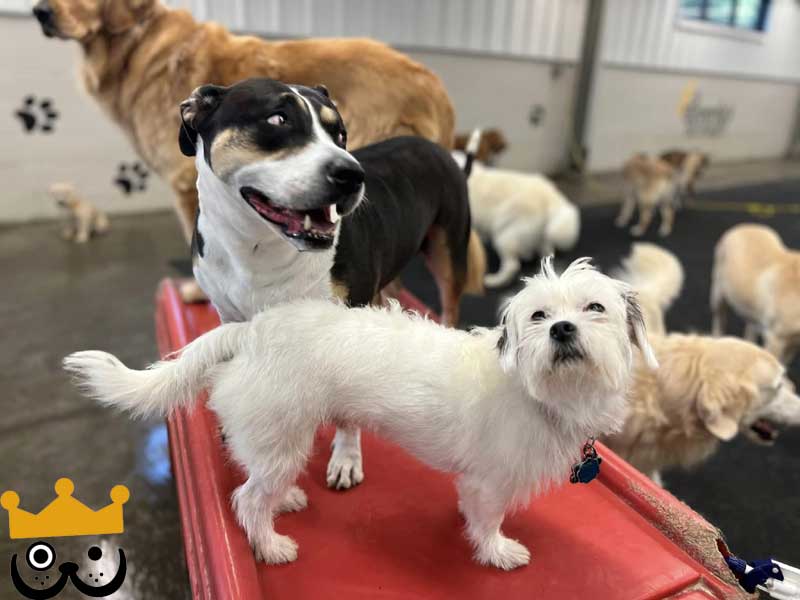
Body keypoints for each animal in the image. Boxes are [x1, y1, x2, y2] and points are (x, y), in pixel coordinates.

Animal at [65, 257, 657, 570]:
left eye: (595, 308)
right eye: (538, 315)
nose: (562, 329)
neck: (540, 392)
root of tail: (252, 331)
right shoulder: (489, 482)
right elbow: (487, 520)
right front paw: (497, 552)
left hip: (275, 438)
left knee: (251, 474)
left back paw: (287, 500)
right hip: (284, 435)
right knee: (247, 499)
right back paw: (270, 544)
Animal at [179, 78, 484, 488]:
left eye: (340, 133)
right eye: (277, 119)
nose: (352, 175)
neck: (258, 248)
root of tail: (439, 148)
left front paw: (347, 457)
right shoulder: (231, 317)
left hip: (448, 251)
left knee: (449, 303)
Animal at [452, 152, 580, 289]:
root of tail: (550, 196)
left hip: (504, 237)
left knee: (512, 266)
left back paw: (493, 281)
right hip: (541, 238)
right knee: (546, 257)